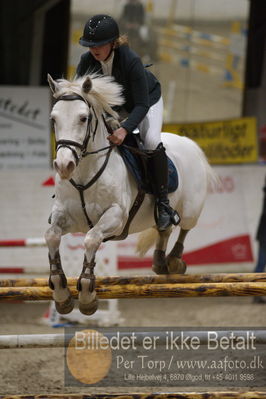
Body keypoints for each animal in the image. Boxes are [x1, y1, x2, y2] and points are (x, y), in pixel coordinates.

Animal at [45, 72, 217, 316]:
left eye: (83, 118)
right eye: (54, 119)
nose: (64, 165)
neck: (85, 171)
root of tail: (187, 142)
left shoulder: (115, 216)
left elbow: (91, 239)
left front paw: (87, 294)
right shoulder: (65, 215)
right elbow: (51, 235)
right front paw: (61, 293)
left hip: (191, 208)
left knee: (184, 227)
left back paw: (174, 260)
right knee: (164, 228)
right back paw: (160, 262)